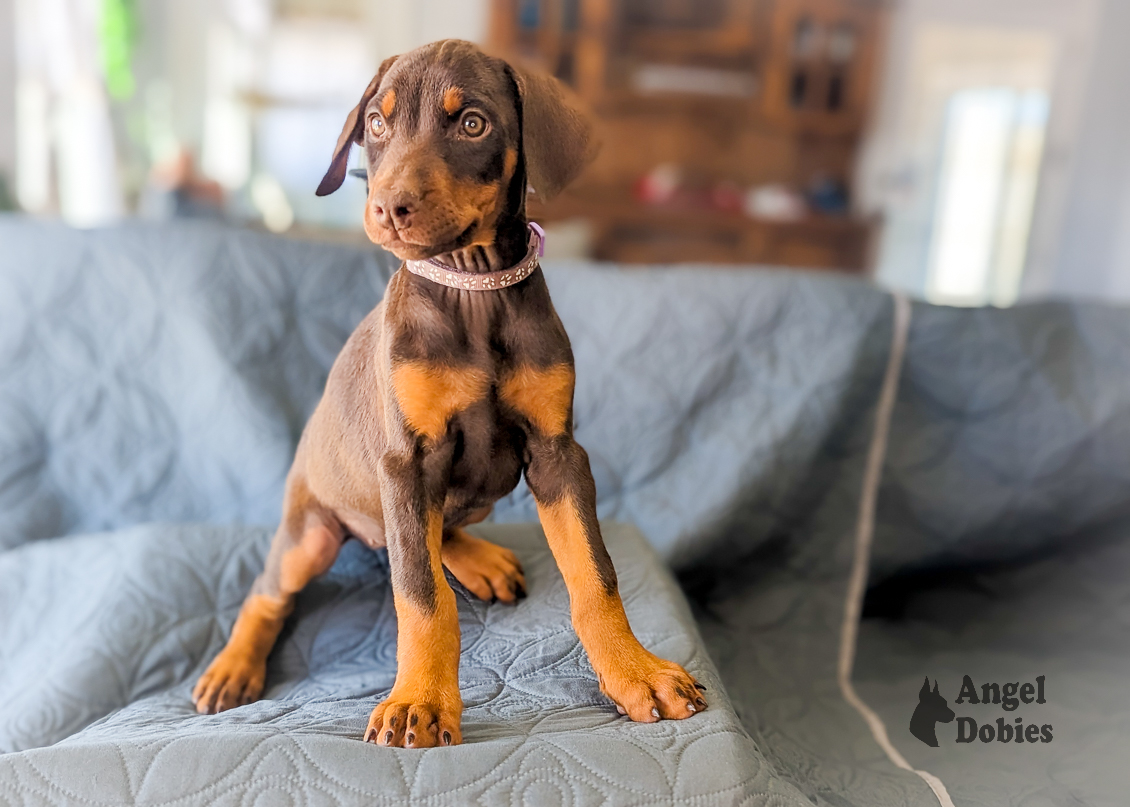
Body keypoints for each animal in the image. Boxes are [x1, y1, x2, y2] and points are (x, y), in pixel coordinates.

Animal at [194, 40, 705, 745]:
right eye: (375, 124)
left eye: (472, 124)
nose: (388, 207)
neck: (473, 289)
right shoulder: (405, 461)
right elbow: (420, 594)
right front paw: (420, 701)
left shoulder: (558, 452)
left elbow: (594, 574)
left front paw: (637, 672)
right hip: (312, 531)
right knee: (278, 588)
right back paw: (233, 666)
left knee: (432, 531)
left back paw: (475, 558)